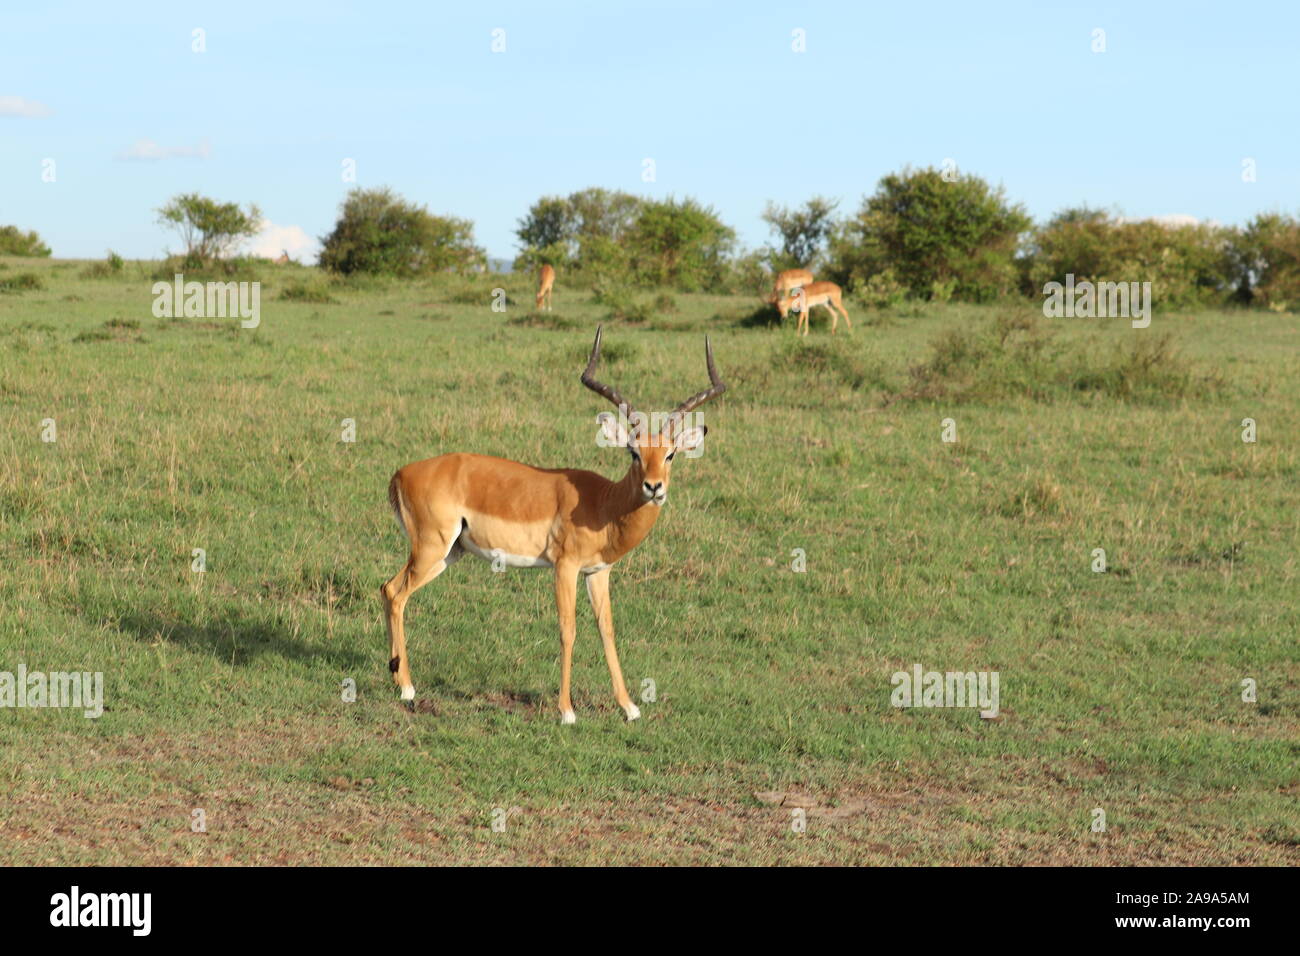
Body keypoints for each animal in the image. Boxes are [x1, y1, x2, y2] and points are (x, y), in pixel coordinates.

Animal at [382, 326, 726, 723]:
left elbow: (607, 629)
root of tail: (401, 473)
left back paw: (398, 678)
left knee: (389, 589)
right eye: (633, 452)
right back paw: (407, 689)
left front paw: (629, 707)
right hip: (431, 548)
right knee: (396, 594)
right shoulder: (565, 567)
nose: (653, 487)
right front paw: (566, 711)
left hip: (447, 554)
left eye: (670, 454)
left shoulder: (598, 572)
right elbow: (568, 629)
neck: (604, 504)